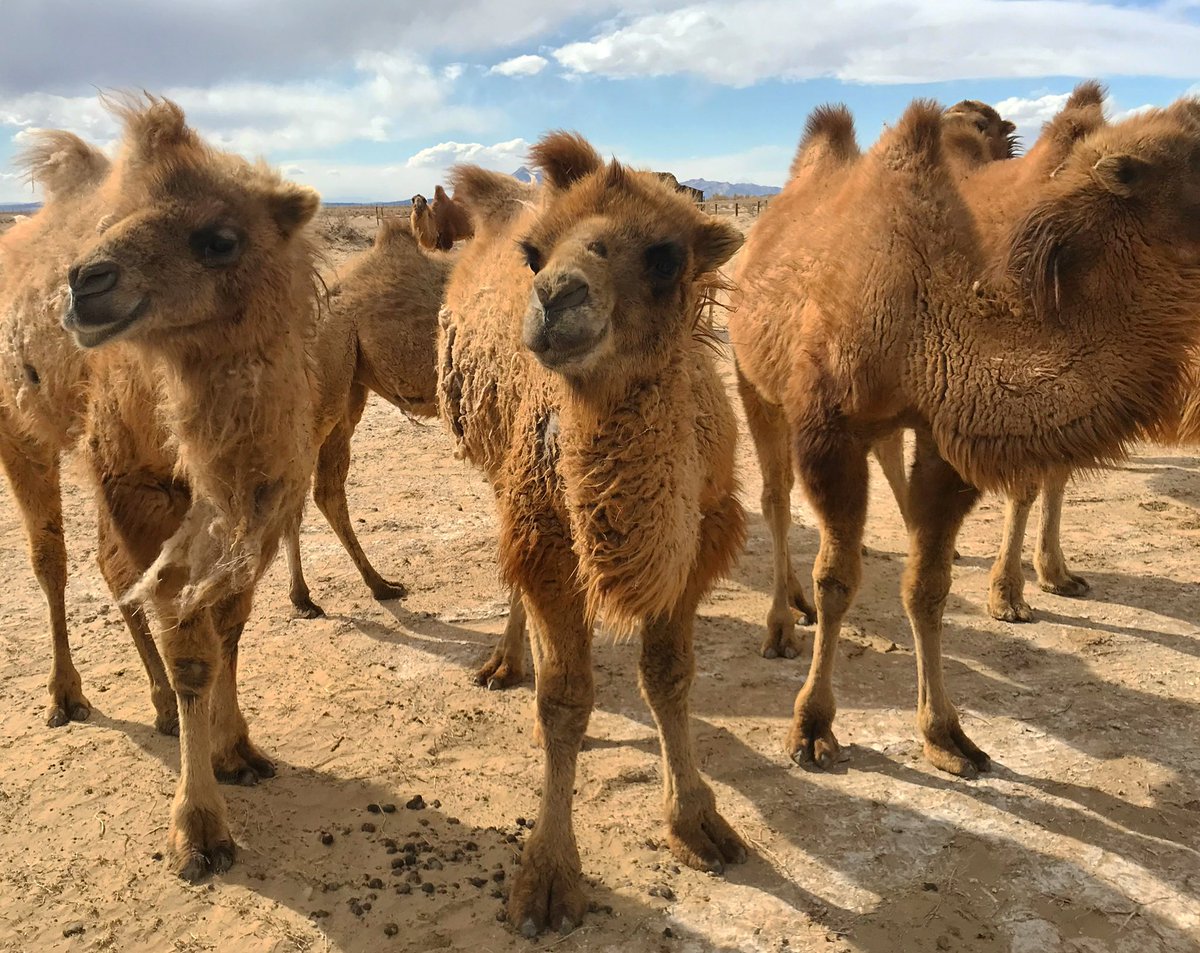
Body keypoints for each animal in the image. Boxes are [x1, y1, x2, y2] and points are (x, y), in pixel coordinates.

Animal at [55, 96, 321, 879]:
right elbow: (194, 655)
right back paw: (72, 698)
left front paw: (240, 751)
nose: (85, 282)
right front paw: (199, 829)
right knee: (61, 564)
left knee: (114, 580)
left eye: (220, 239)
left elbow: (228, 630)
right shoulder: (147, 500)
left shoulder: (254, 508)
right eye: (110, 222)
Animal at [438, 131, 748, 935]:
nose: (556, 297)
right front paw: (547, 879)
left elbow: (669, 676)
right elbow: (565, 701)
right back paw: (504, 662)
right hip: (501, 469)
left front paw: (699, 822)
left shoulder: (698, 543)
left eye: (667, 256)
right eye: (534, 253)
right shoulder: (549, 540)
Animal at [730, 97, 1200, 779]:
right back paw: (781, 624)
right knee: (772, 497)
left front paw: (946, 735)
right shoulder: (828, 426)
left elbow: (927, 587)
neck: (929, 315)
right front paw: (812, 727)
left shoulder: (943, 436)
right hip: (752, 378)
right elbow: (837, 580)